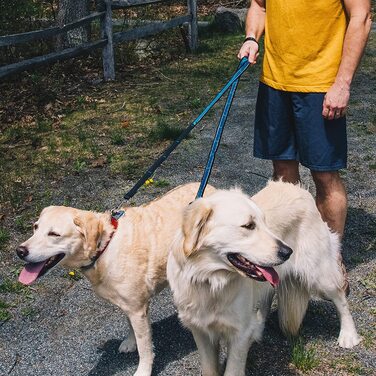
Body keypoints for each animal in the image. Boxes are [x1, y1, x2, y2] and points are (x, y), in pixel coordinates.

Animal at [16, 184, 214, 376]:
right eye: (35, 227)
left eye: (54, 234)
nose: (20, 251)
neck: (104, 247)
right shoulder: (129, 305)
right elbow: (130, 327)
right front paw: (130, 342)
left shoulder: (137, 310)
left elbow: (145, 348)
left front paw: (143, 370)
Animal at [168, 181, 362, 374]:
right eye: (248, 226)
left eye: (264, 223)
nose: (288, 252)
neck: (211, 280)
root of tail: (299, 188)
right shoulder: (200, 331)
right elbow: (209, 368)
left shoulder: (239, 333)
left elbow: (233, 369)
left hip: (319, 274)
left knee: (341, 298)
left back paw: (348, 335)